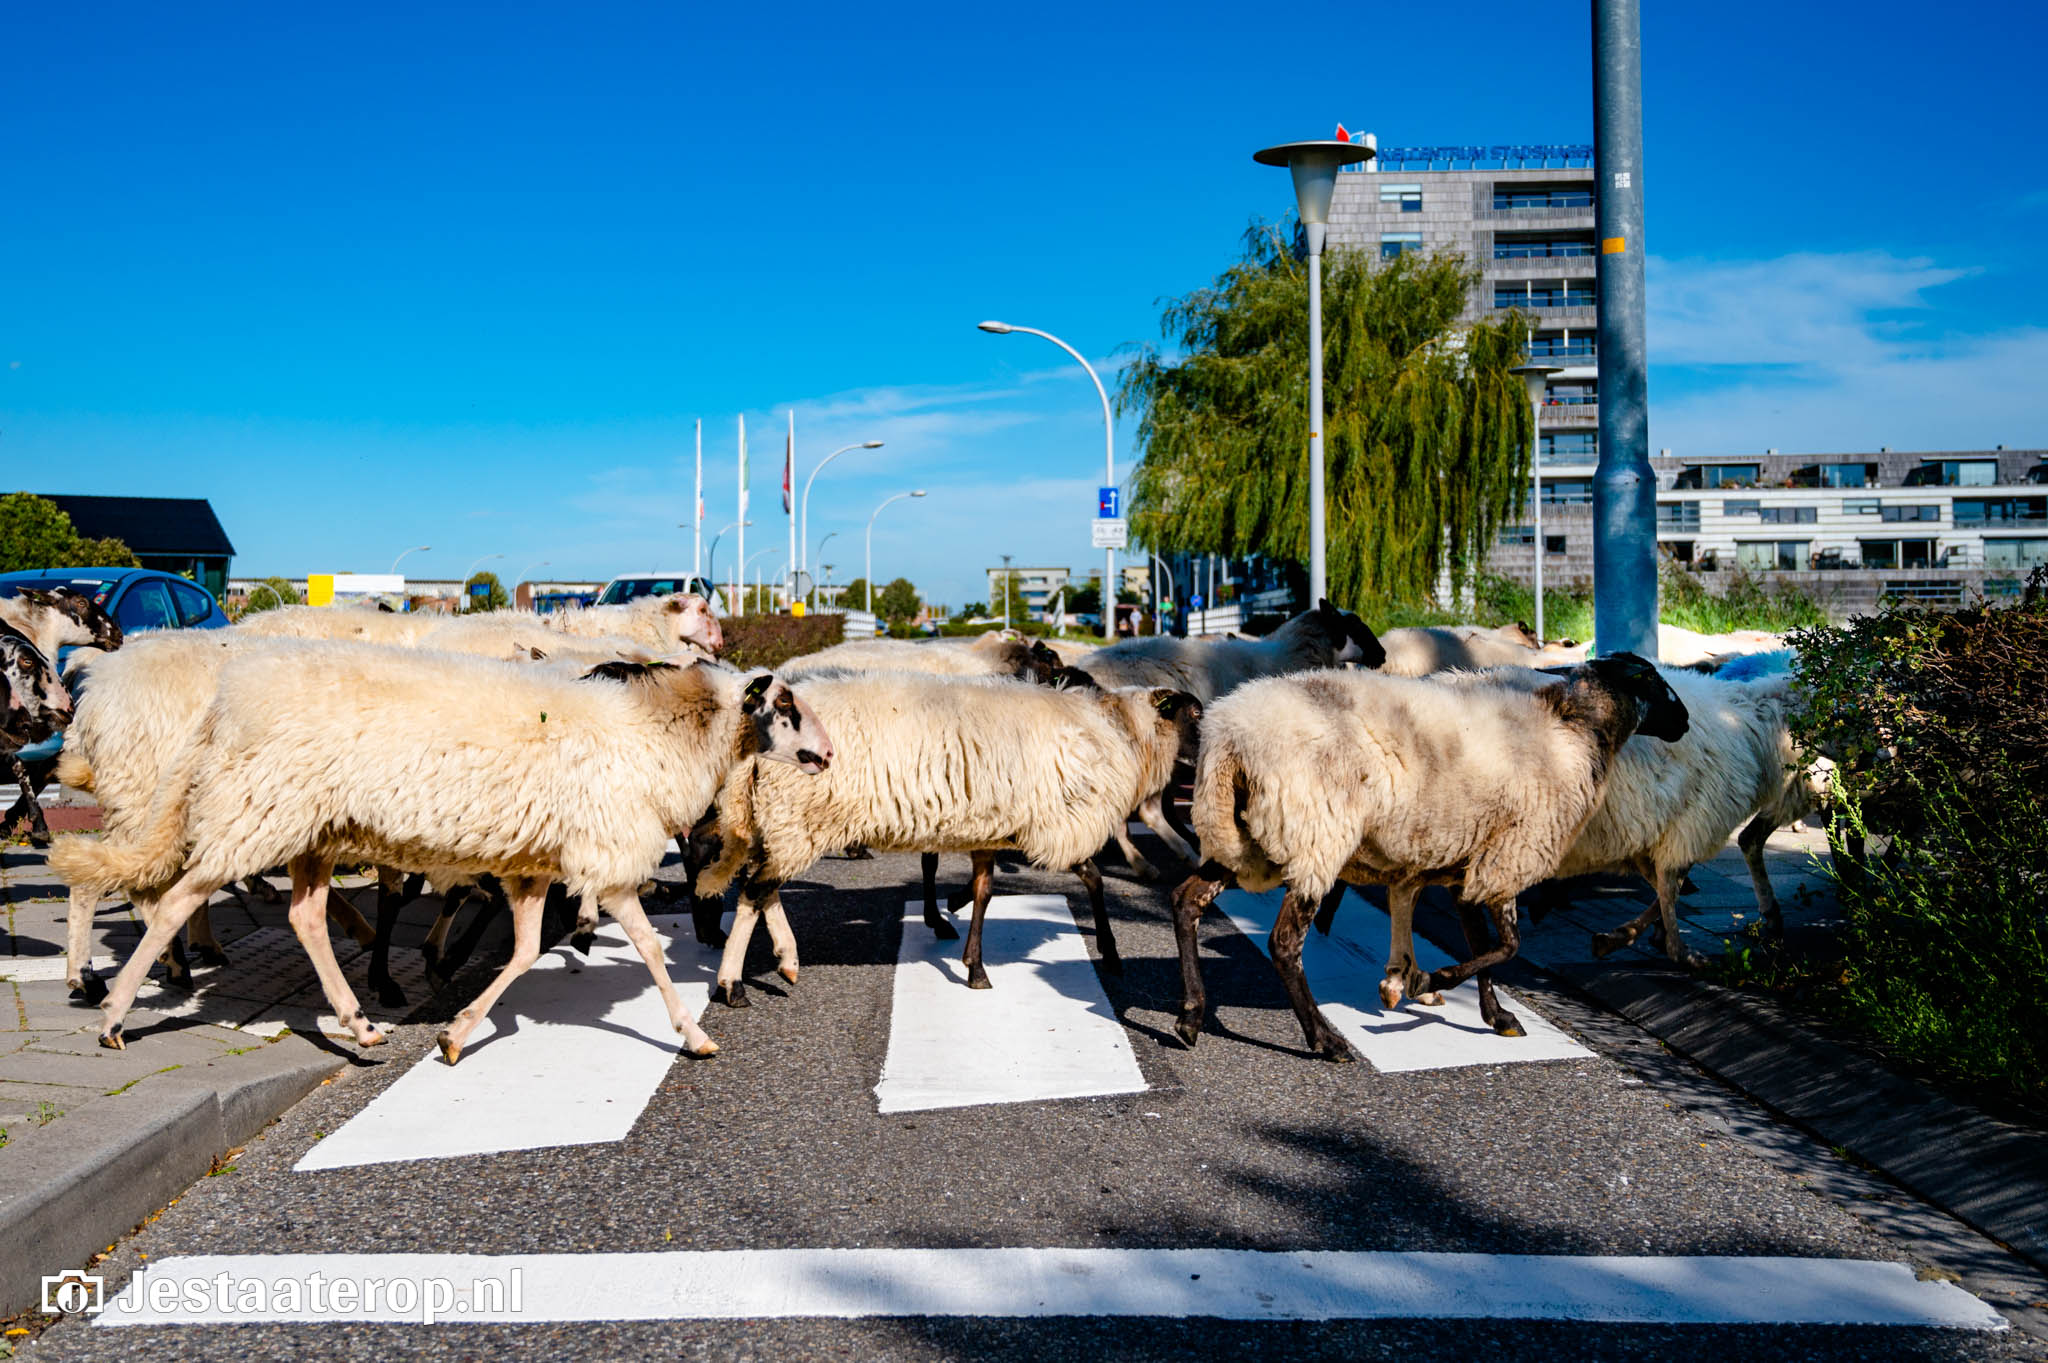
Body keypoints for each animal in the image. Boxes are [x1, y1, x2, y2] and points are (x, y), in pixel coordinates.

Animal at [50, 644, 832, 1060]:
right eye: (784, 707)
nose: (827, 755)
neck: (658, 734)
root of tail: (224, 701)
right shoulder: (605, 859)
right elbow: (646, 950)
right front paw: (693, 1033)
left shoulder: (531, 865)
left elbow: (523, 951)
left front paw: (456, 1032)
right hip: (258, 815)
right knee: (175, 901)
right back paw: (114, 1011)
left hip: (308, 830)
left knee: (304, 917)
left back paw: (360, 1023)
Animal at [697, 671, 1199, 1004]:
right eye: (1195, 712)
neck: (1121, 731)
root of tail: (749, 747)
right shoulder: (1056, 822)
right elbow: (1092, 878)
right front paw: (1110, 952)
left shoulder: (993, 822)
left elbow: (983, 890)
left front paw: (969, 954)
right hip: (799, 818)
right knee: (755, 890)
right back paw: (732, 984)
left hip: (779, 822)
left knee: (761, 887)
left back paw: (786, 959)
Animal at [1169, 654, 1688, 1059]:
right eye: (1653, 680)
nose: (1683, 721)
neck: (1576, 726)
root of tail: (1228, 739)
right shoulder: (1508, 855)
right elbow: (1507, 946)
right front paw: (1432, 982)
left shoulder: (1470, 862)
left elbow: (1480, 944)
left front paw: (1493, 1014)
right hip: (1314, 834)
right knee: (1282, 944)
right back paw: (1324, 1040)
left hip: (1247, 842)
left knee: (1186, 902)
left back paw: (1191, 1015)